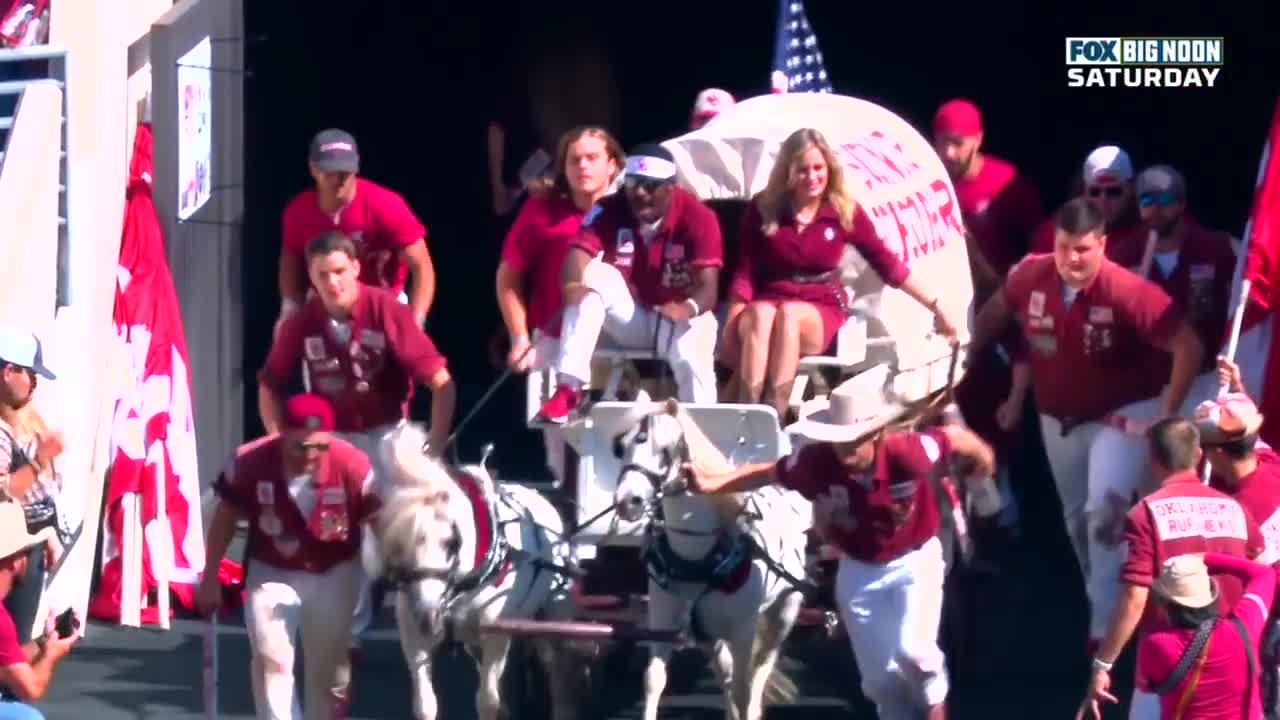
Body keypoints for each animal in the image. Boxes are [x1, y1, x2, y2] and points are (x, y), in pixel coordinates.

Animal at [363, 420, 578, 717]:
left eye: (450, 542)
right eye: (397, 544)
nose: (427, 615)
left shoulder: (495, 633)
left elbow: (487, 700)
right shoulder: (412, 632)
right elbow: (425, 704)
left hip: (554, 611)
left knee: (556, 660)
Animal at [606, 392, 808, 717]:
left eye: (666, 450)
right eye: (620, 447)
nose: (628, 501)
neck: (696, 557)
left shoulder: (742, 631)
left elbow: (743, 689)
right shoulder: (663, 621)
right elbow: (654, 680)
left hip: (785, 611)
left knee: (761, 667)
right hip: (707, 630)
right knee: (725, 670)